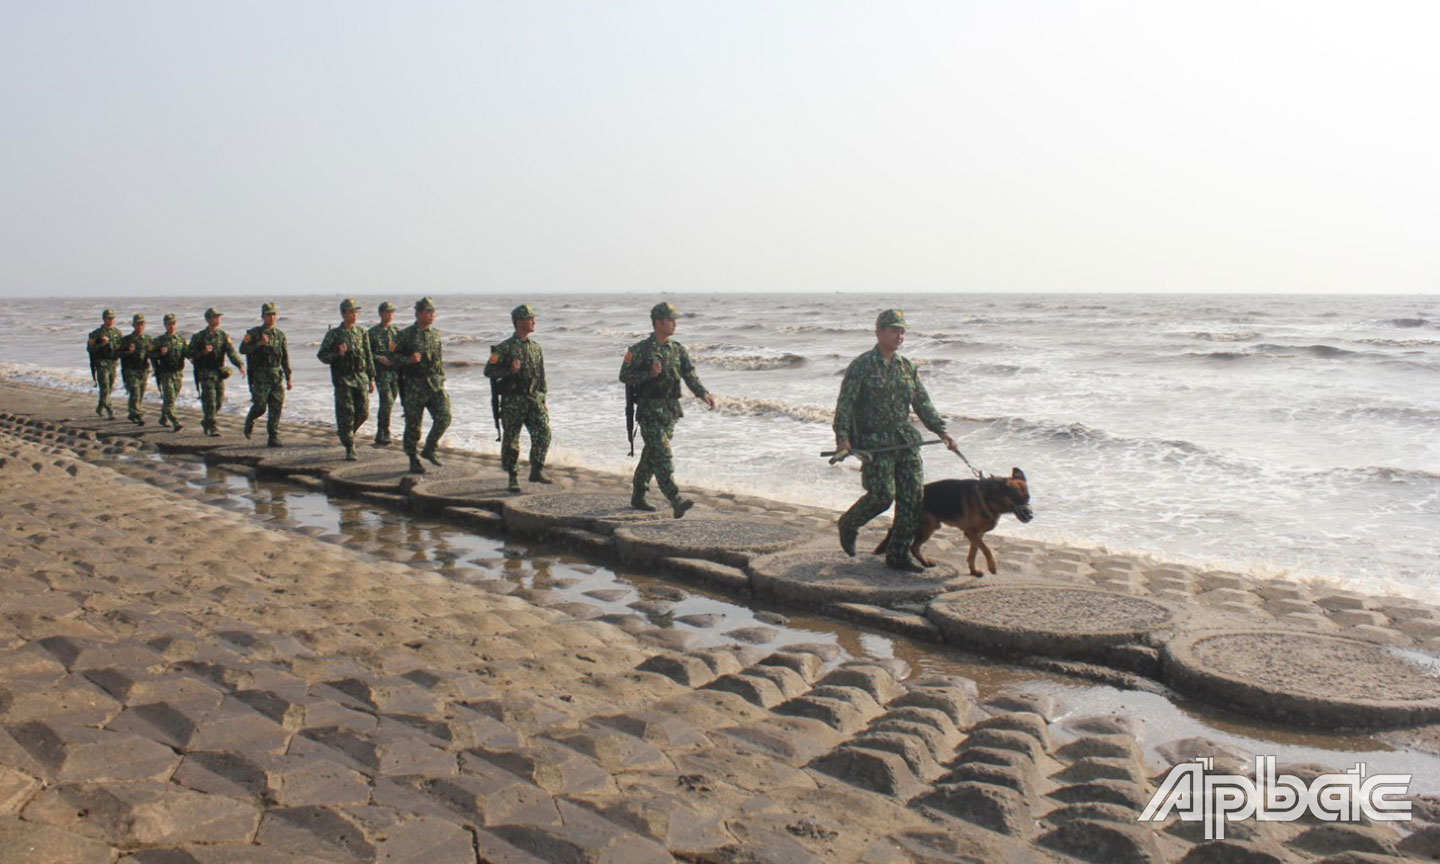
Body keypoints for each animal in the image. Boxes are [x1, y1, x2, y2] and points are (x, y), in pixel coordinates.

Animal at [869, 469, 1031, 576]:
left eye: (1028, 499)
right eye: (1016, 499)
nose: (1031, 516)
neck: (991, 498)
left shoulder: (977, 534)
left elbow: (974, 552)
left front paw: (973, 570)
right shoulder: (971, 533)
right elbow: (987, 549)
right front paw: (992, 566)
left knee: (909, 543)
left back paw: (923, 562)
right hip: (928, 525)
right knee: (912, 546)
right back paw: (920, 562)